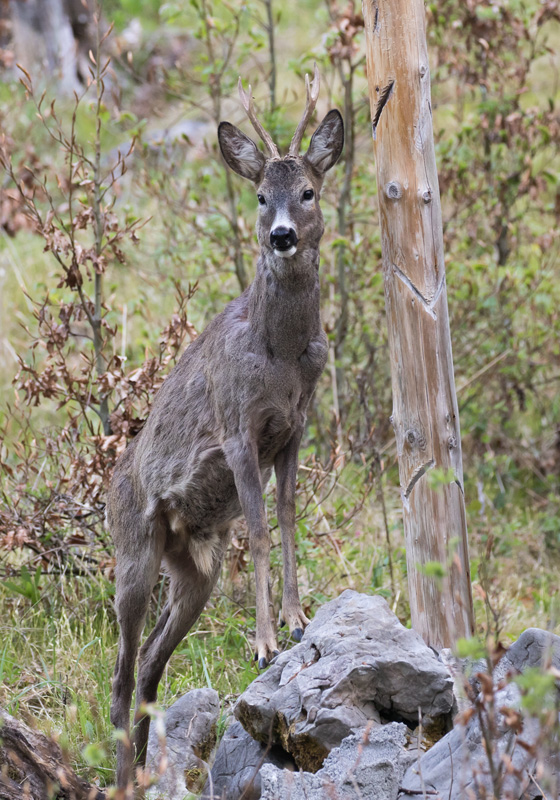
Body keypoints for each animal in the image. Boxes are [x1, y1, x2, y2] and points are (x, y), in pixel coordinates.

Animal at [104, 65, 342, 792]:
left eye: (307, 191)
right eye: (261, 196)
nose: (282, 236)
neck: (280, 353)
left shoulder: (294, 429)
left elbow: (288, 516)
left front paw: (297, 619)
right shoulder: (238, 430)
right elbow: (260, 529)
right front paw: (265, 641)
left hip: (194, 569)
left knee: (150, 665)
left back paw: (145, 771)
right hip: (133, 554)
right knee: (120, 676)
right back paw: (125, 779)